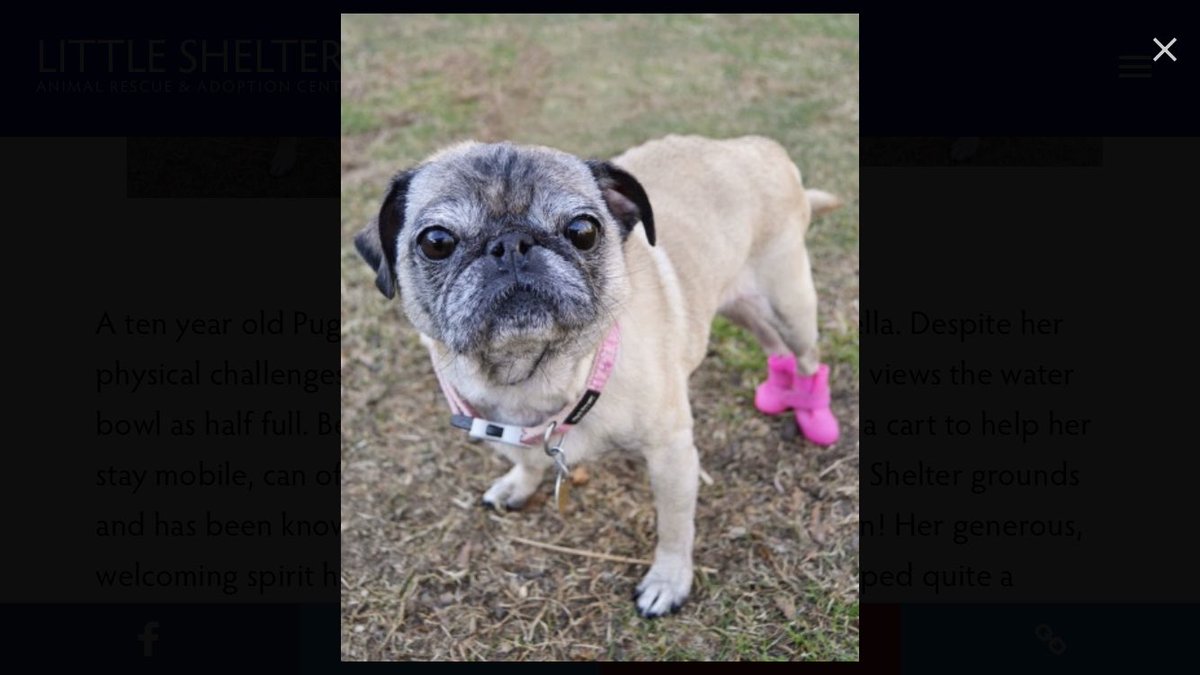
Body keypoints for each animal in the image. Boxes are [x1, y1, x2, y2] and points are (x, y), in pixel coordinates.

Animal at [354, 134, 842, 617]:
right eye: (437, 241)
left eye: (582, 231)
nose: (512, 243)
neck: (533, 383)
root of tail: (754, 146)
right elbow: (526, 459)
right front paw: (518, 484)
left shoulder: (671, 457)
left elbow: (675, 526)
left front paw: (669, 581)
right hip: (741, 304)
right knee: (770, 342)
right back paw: (777, 391)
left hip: (790, 303)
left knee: (807, 355)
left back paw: (812, 413)